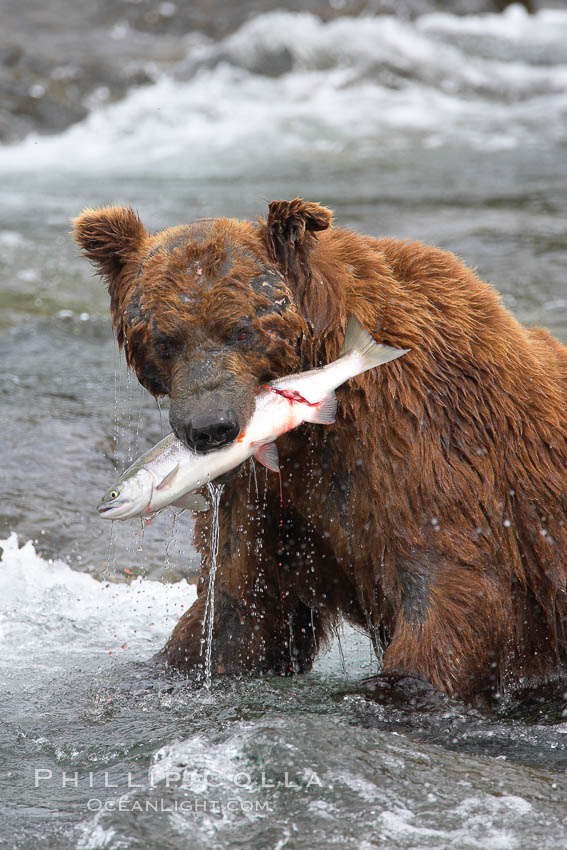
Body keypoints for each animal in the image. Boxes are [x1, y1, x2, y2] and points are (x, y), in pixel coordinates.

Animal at [73, 197, 567, 704]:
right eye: (165, 340)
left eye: (241, 331)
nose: (209, 429)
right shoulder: (261, 492)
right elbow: (239, 604)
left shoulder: (421, 441)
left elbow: (449, 587)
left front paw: (397, 686)